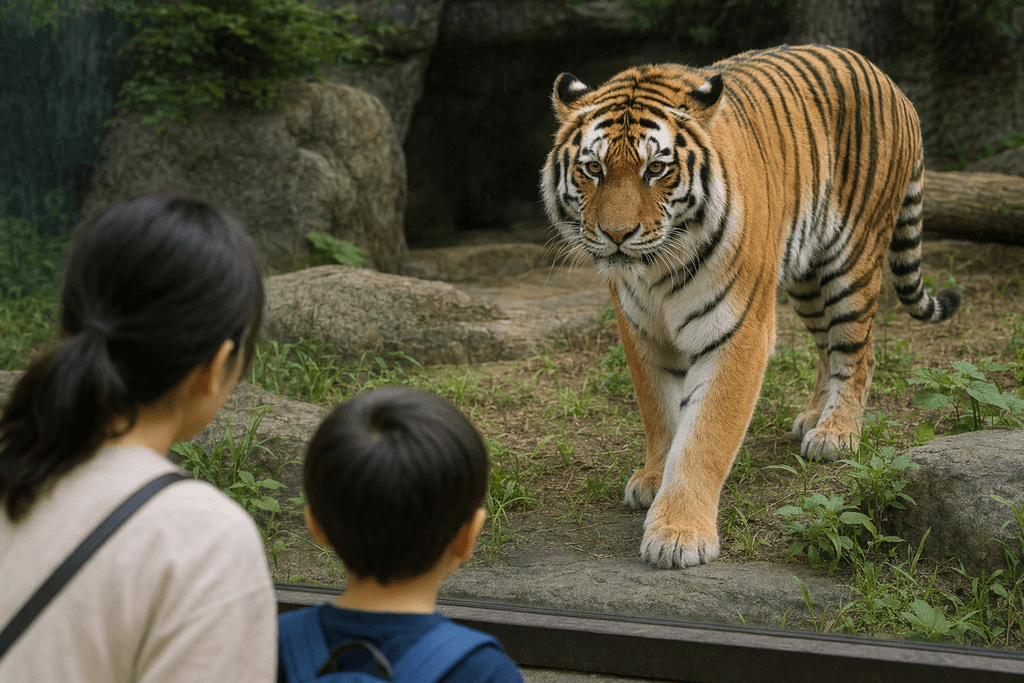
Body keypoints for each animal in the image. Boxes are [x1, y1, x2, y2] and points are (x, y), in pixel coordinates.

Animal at [540, 45, 961, 569]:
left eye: (655, 169)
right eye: (593, 169)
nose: (617, 235)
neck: (656, 270)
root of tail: (888, 80)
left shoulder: (737, 331)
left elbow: (705, 435)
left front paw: (679, 534)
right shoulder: (640, 331)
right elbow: (660, 413)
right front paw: (655, 479)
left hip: (852, 260)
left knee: (858, 351)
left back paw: (836, 433)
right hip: (806, 278)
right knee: (826, 347)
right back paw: (813, 415)